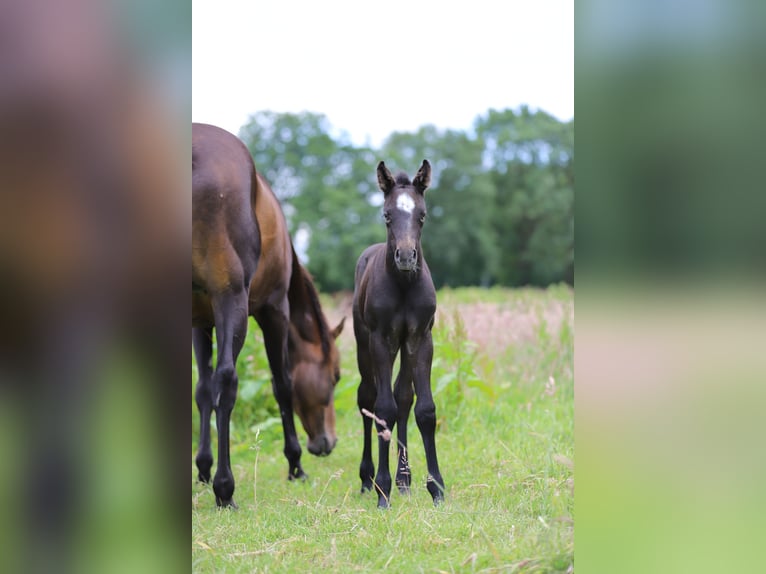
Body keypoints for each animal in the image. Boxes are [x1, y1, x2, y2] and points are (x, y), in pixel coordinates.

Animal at [192, 122, 344, 508]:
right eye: (335, 376)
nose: (328, 442)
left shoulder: (199, 321)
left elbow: (202, 389)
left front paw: (202, 469)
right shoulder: (273, 311)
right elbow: (282, 385)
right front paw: (295, 465)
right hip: (234, 303)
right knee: (227, 380)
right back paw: (225, 489)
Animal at [352, 159, 445, 508]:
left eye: (422, 215)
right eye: (387, 215)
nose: (406, 257)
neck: (404, 285)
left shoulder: (420, 338)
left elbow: (423, 409)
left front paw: (436, 487)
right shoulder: (381, 340)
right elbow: (383, 409)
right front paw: (382, 488)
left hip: (404, 346)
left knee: (403, 396)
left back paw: (404, 479)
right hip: (364, 345)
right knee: (367, 397)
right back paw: (367, 478)